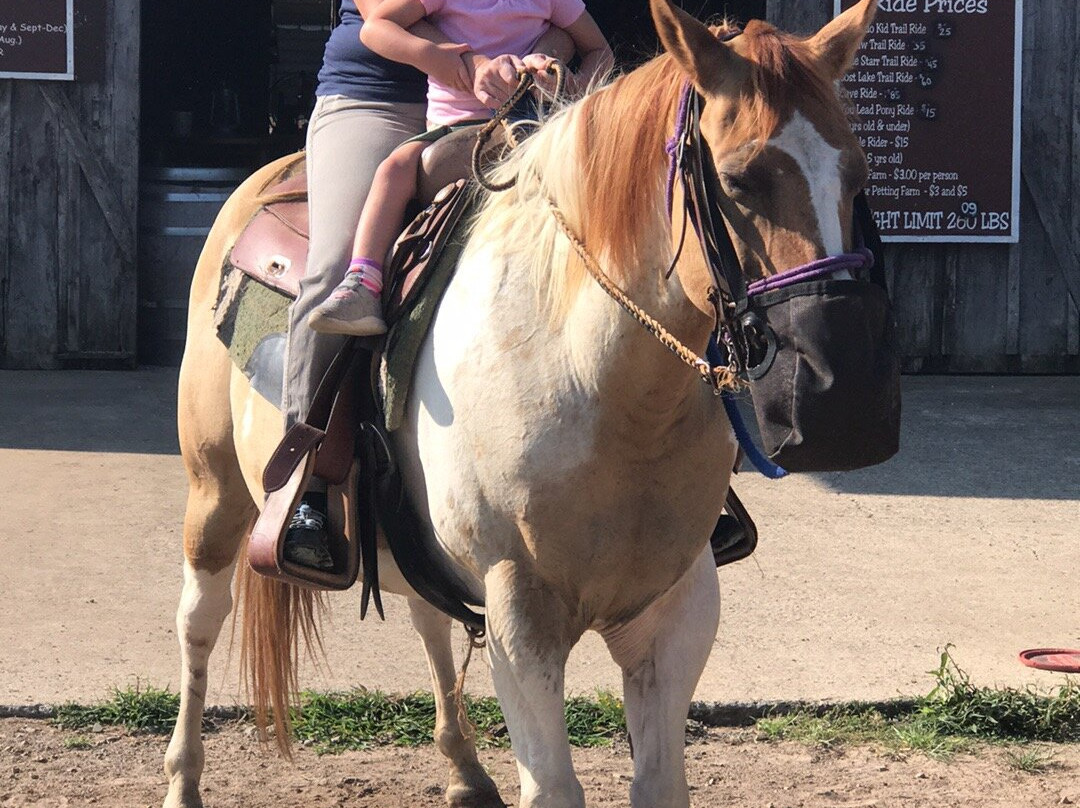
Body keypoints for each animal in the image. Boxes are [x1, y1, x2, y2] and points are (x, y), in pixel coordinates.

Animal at [166, 3, 876, 803]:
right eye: (740, 179)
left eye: (858, 174)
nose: (841, 401)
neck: (602, 389)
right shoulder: (521, 614)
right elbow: (554, 786)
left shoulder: (677, 611)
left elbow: (660, 781)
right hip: (216, 492)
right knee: (198, 622)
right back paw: (182, 779)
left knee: (427, 617)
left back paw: (466, 771)